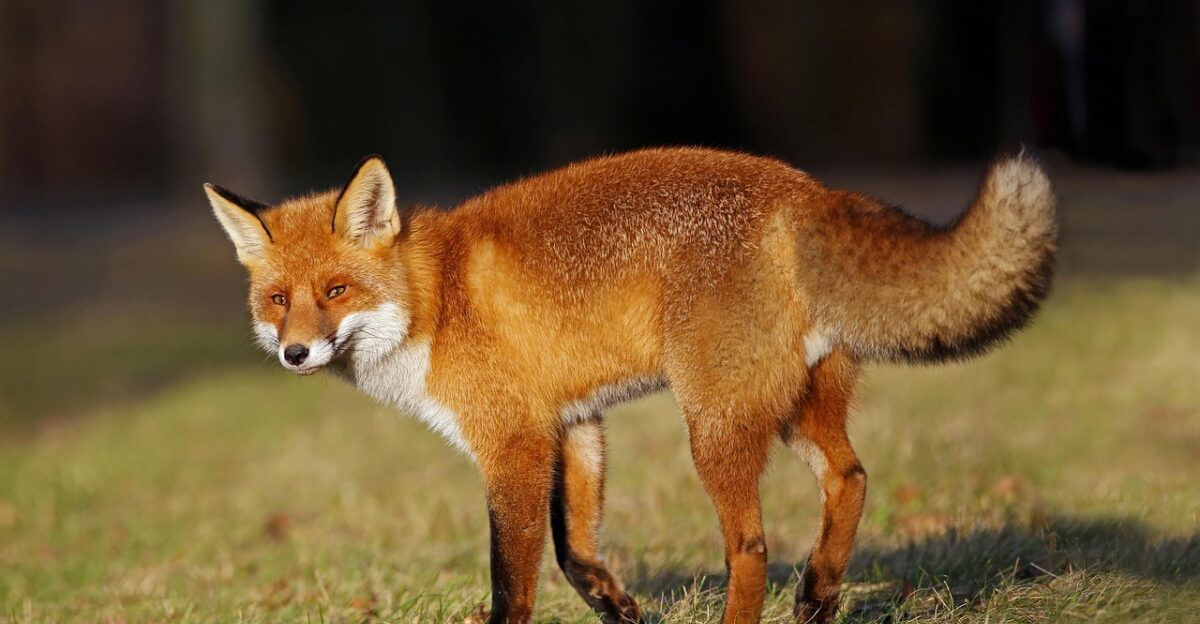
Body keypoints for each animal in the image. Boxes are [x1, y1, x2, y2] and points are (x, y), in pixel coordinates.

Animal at [206, 147, 1057, 624]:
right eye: (278, 299)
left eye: (336, 291)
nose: (296, 352)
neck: (436, 299)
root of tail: (805, 191)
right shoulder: (574, 426)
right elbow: (576, 553)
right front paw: (621, 608)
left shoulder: (513, 443)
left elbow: (513, 580)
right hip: (791, 410)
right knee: (850, 478)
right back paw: (817, 597)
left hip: (712, 425)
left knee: (751, 546)